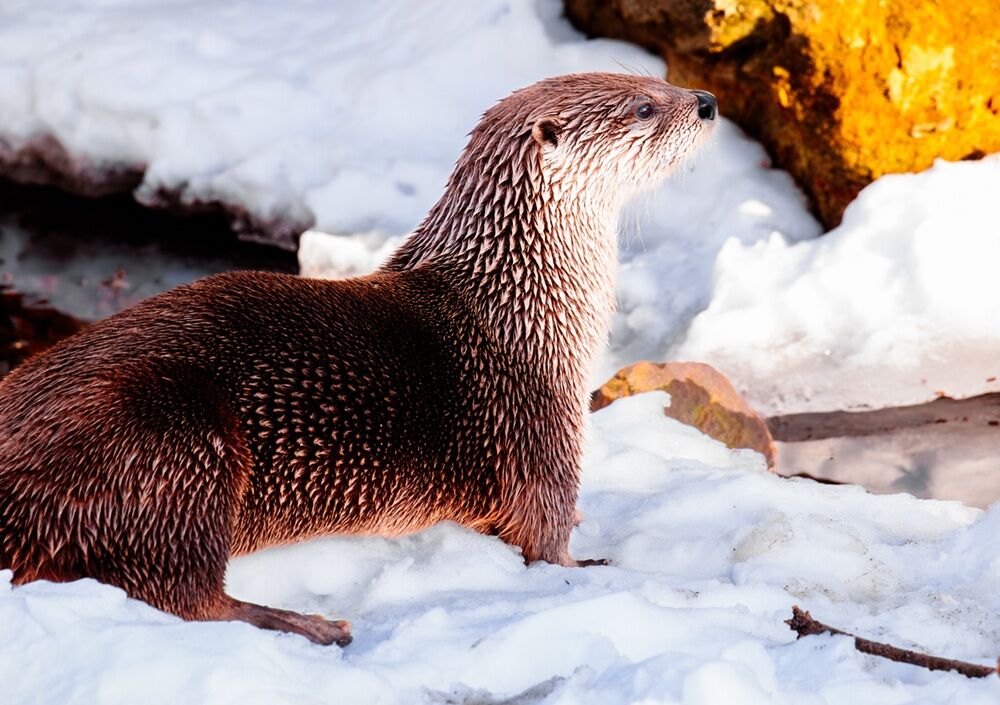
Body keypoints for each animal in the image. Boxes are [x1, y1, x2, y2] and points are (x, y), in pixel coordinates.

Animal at [0, 73, 716, 646]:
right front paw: (589, 567)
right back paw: (313, 625)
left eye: (656, 79)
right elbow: (543, 534)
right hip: (175, 435)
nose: (707, 102)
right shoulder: (537, 428)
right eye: (645, 106)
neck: (520, 307)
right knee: (177, 590)